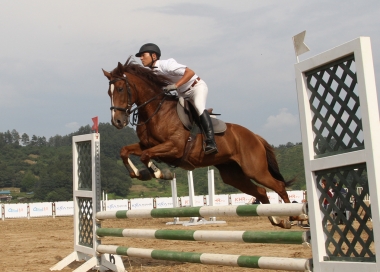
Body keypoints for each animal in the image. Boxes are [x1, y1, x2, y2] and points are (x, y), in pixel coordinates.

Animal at [102, 58, 302, 230]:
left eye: (120, 89)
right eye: (109, 92)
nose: (117, 122)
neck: (155, 111)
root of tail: (254, 136)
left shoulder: (175, 147)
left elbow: (145, 156)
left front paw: (160, 173)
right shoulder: (147, 145)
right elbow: (125, 151)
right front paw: (139, 173)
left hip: (254, 169)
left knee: (278, 186)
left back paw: (294, 217)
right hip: (232, 174)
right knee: (260, 191)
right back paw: (277, 220)